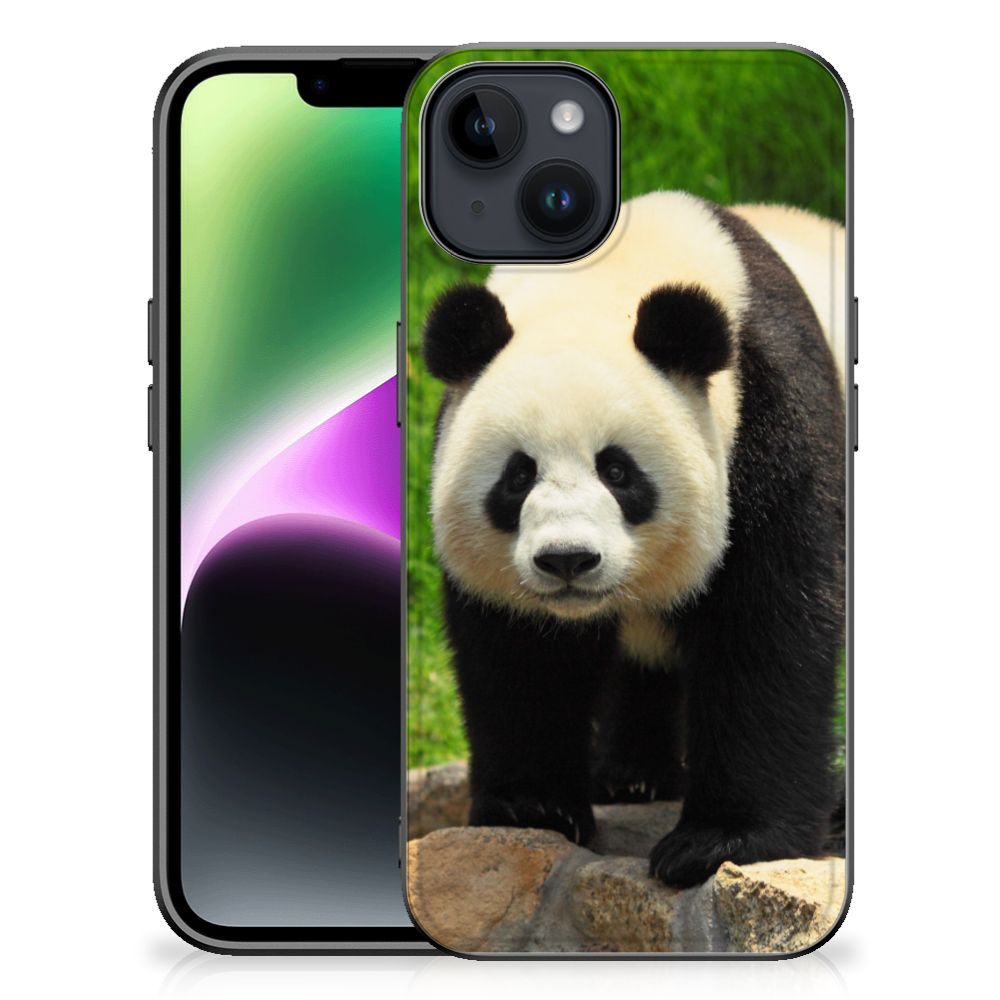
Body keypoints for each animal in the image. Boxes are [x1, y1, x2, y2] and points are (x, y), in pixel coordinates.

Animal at [420, 191, 846, 888]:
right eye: (517, 475)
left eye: (617, 471)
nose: (567, 560)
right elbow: (521, 653)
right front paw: (532, 807)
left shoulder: (771, 419)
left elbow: (768, 627)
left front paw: (719, 842)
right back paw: (631, 776)